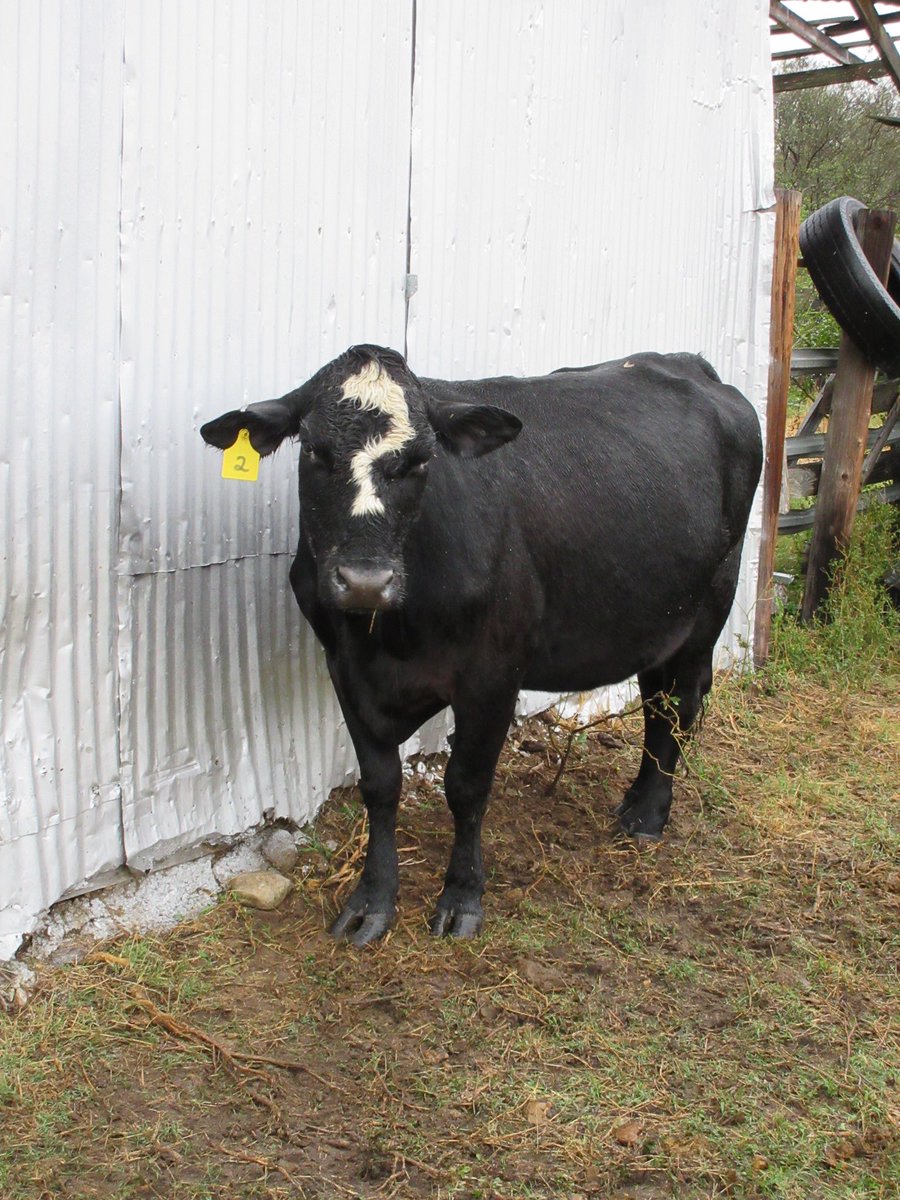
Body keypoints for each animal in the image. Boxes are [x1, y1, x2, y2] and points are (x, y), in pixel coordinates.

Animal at [201, 344, 762, 946]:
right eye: (314, 451)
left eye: (421, 460)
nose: (366, 581)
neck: (391, 638)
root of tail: (689, 363)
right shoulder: (345, 668)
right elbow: (379, 785)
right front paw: (372, 900)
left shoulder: (493, 675)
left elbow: (466, 787)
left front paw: (462, 897)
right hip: (659, 620)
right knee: (657, 704)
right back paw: (636, 801)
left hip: (708, 611)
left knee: (679, 704)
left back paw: (648, 815)